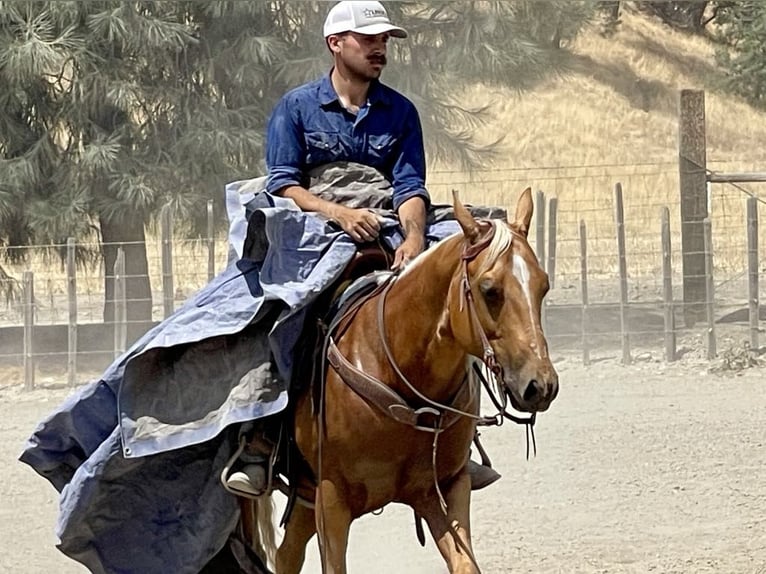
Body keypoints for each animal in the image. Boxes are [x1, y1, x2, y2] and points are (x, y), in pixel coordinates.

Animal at [247, 188, 559, 574]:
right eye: (490, 289)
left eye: (544, 285)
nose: (541, 385)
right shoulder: (331, 499)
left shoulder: (445, 488)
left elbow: (465, 564)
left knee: (287, 553)